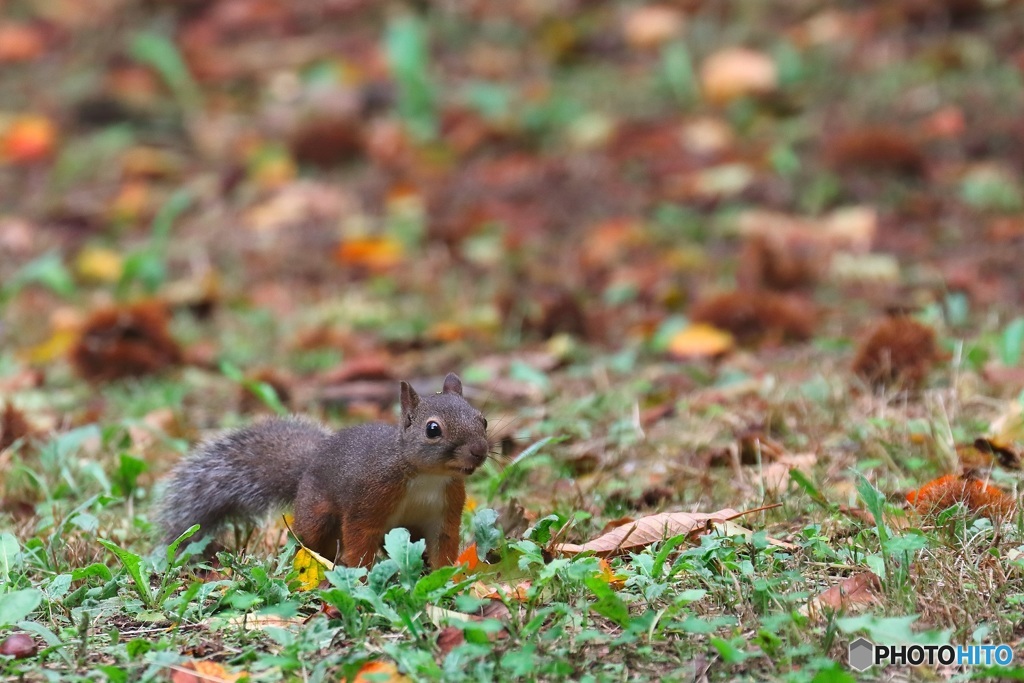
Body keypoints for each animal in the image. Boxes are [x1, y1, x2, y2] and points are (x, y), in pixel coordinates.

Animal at [157, 370, 489, 569]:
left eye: (482, 419)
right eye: (433, 429)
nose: (479, 451)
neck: (427, 477)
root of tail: (310, 463)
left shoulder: (444, 511)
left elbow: (443, 544)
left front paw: (448, 576)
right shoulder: (369, 499)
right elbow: (359, 538)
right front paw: (361, 575)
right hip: (317, 514)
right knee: (313, 540)